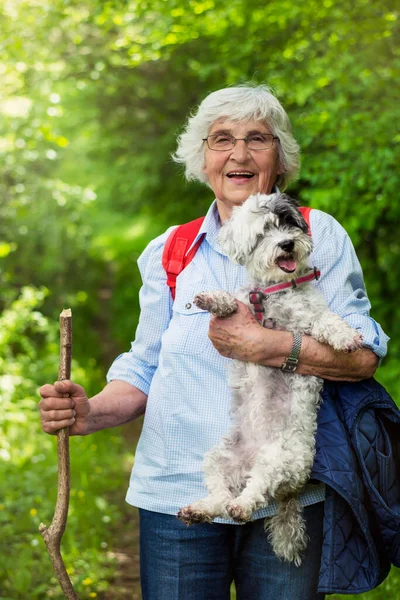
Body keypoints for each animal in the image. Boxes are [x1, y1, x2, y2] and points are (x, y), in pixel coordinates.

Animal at [178, 195, 362, 564]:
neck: (274, 293)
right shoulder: (246, 306)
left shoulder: (307, 321)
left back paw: (240, 506)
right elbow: (231, 302)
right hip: (218, 458)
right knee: (221, 497)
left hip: (277, 460)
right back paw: (200, 509)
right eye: (264, 232)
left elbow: (326, 321)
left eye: (289, 223)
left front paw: (346, 336)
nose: (287, 244)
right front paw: (213, 299)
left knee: (255, 493)